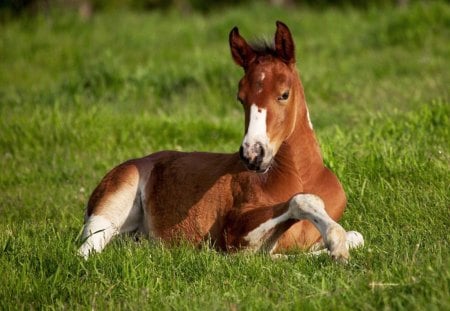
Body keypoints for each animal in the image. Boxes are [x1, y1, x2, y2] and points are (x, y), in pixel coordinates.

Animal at [78, 20, 362, 262]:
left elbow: (357, 236)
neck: (301, 176)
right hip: (111, 206)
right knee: (85, 251)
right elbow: (299, 203)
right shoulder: (234, 232)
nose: (253, 154)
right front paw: (336, 244)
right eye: (241, 98)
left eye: (284, 94)